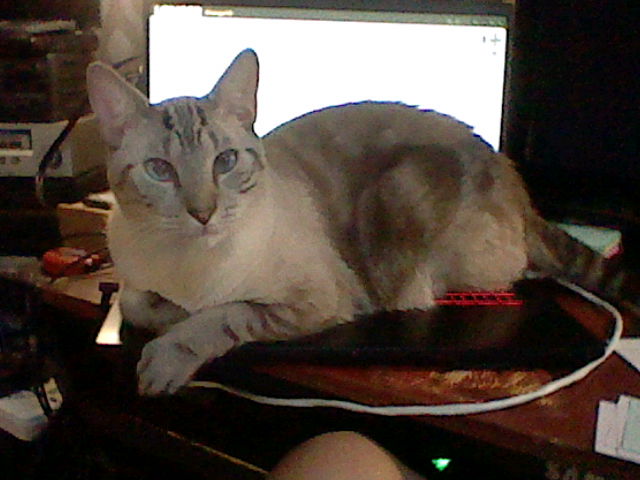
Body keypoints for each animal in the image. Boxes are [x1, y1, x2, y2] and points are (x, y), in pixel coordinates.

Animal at [85, 48, 636, 396]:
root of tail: (515, 181)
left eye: (225, 162)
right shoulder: (135, 283)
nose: (203, 213)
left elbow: (220, 316)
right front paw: (166, 314)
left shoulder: (314, 300)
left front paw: (164, 357)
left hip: (399, 208)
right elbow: (137, 303)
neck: (191, 268)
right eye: (161, 171)